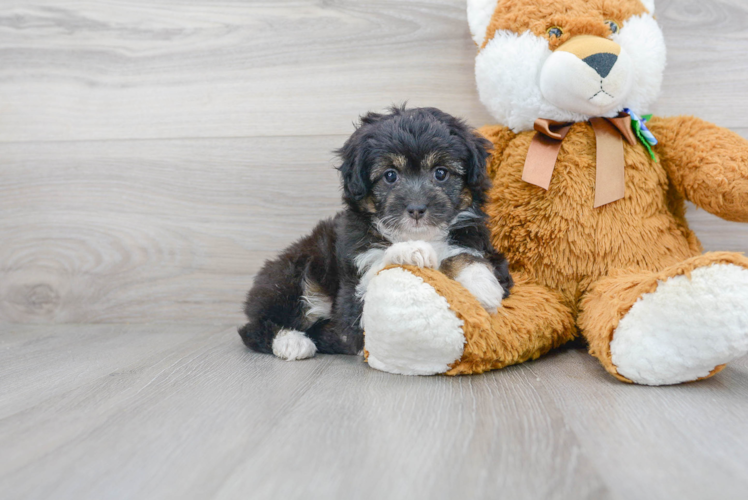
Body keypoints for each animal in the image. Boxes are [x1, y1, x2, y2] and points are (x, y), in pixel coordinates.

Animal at [240, 107, 516, 362]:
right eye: (390, 176)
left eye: (441, 173)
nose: (416, 209)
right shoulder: (354, 286)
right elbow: (379, 265)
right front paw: (410, 251)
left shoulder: (475, 241)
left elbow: (464, 256)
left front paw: (482, 284)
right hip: (291, 273)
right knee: (253, 328)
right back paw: (291, 341)